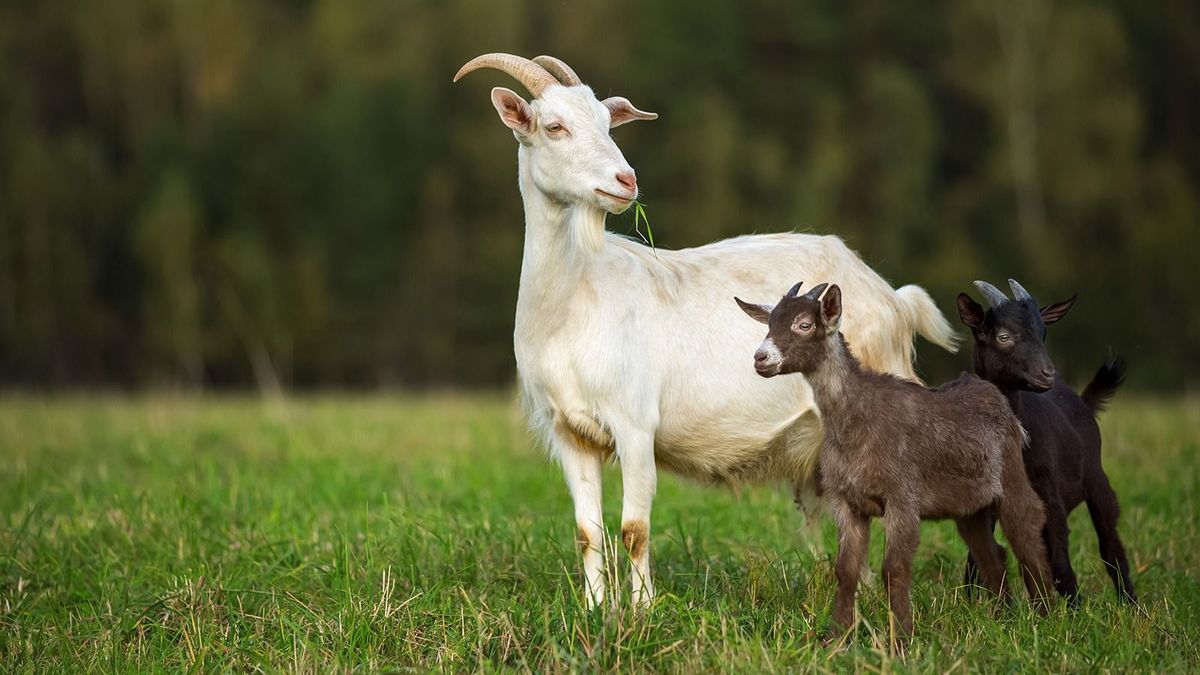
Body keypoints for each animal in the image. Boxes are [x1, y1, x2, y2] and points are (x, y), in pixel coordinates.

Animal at [453, 55, 960, 607]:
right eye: (554, 127)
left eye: (608, 125)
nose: (625, 180)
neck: (572, 302)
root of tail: (893, 298)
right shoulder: (570, 432)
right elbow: (588, 532)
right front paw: (595, 610)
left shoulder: (635, 423)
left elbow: (634, 529)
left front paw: (642, 611)